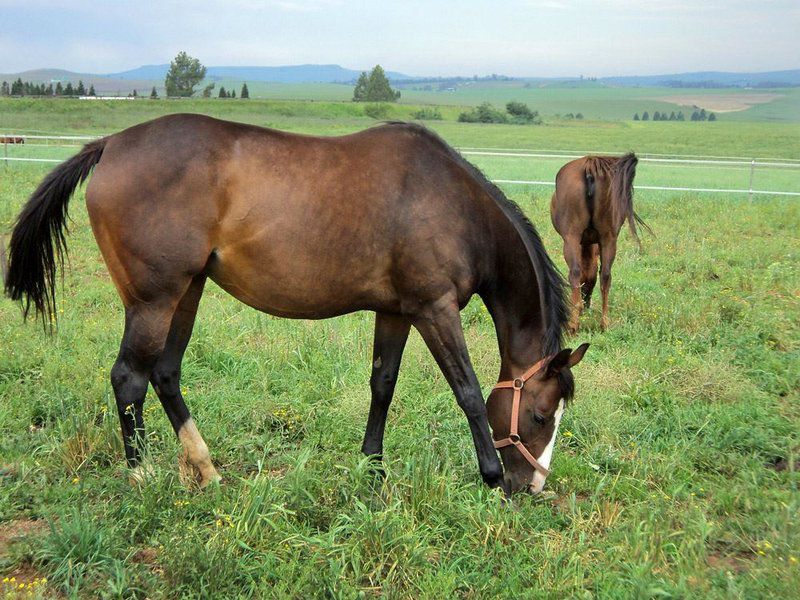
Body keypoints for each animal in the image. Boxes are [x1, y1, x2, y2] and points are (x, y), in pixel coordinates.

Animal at [3, 115, 588, 494]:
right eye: (540, 415)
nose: (530, 486)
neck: (454, 205)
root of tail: (111, 145)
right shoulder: (434, 309)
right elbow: (467, 392)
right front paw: (488, 475)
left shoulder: (397, 311)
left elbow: (383, 385)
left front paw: (372, 469)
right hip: (154, 300)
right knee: (130, 378)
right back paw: (141, 475)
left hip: (187, 292)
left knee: (165, 374)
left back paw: (205, 469)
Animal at [552, 154, 648, 332]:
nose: (587, 303)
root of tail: (590, 165)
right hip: (609, 239)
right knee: (605, 275)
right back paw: (604, 323)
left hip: (571, 237)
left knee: (575, 272)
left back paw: (573, 324)